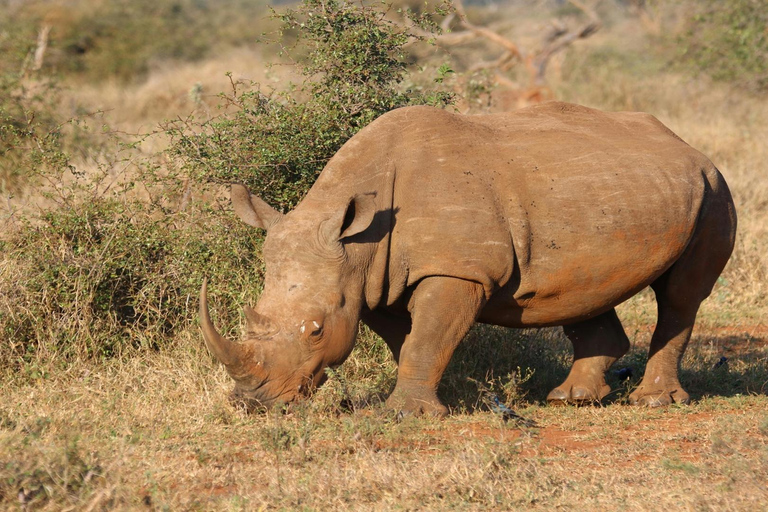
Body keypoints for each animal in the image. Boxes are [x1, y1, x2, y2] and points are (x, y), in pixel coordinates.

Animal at [199, 102, 736, 416]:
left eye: (315, 330)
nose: (254, 404)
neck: (359, 242)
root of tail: (686, 145)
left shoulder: (458, 269)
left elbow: (426, 337)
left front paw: (403, 415)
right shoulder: (374, 282)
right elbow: (409, 340)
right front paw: (425, 402)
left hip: (712, 188)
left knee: (681, 296)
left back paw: (654, 403)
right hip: (610, 193)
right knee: (585, 287)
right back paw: (572, 400)